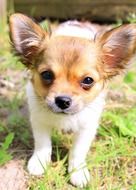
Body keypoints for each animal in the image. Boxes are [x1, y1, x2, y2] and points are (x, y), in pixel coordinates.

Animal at [9, 14, 136, 188]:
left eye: (88, 80)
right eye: (47, 75)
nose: (62, 100)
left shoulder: (87, 127)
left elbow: (78, 151)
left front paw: (78, 171)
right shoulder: (39, 121)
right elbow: (43, 143)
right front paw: (40, 162)